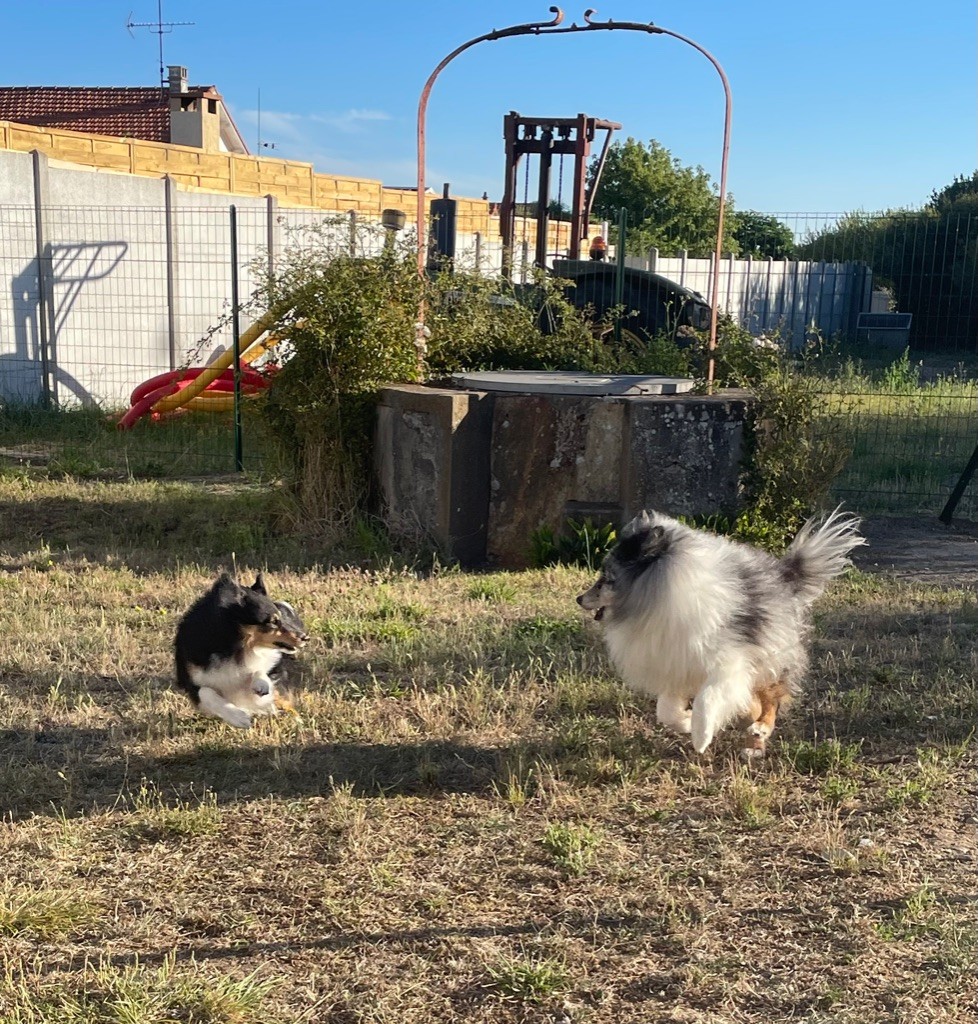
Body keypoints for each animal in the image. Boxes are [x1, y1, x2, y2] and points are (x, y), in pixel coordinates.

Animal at [174, 577, 307, 729]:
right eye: (273, 621)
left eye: (280, 619)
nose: (305, 637)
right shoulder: (190, 679)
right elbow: (206, 692)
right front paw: (238, 717)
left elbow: (261, 673)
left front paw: (260, 684)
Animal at [577, 507, 868, 757]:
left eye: (607, 579)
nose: (579, 599)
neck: (661, 594)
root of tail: (784, 576)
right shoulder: (676, 662)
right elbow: (666, 711)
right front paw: (686, 723)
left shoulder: (728, 664)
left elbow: (707, 699)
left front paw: (701, 737)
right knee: (754, 702)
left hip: (768, 653)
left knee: (770, 700)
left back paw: (759, 732)